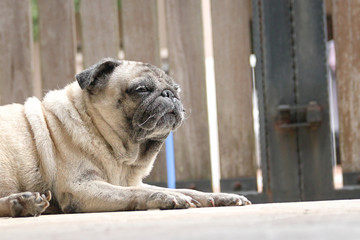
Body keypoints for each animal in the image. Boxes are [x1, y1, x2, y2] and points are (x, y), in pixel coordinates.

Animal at [0, 58, 250, 218]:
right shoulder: (81, 187)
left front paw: (220, 197)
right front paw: (164, 196)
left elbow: (189, 190)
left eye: (177, 89)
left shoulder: (128, 181)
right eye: (141, 89)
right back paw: (22, 204)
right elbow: (136, 192)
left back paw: (21, 203)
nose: (170, 94)